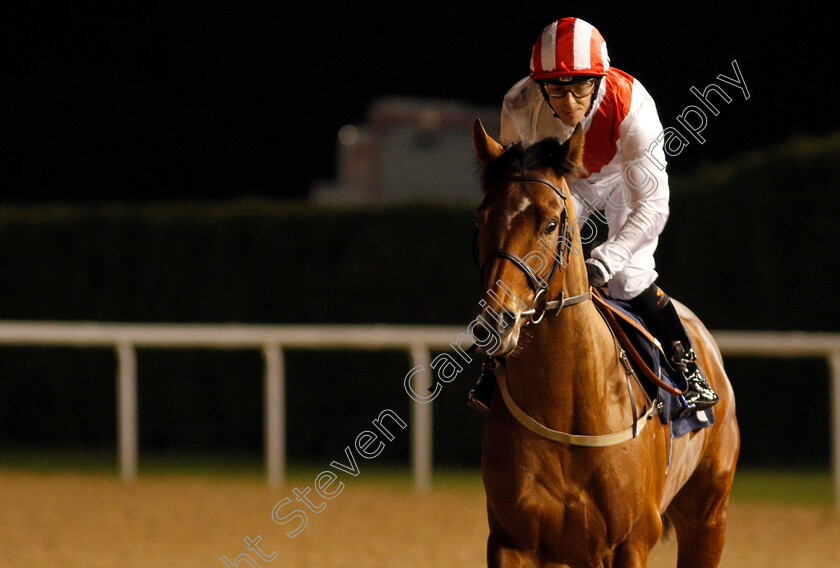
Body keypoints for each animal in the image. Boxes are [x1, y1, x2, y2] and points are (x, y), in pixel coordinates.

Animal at [470, 120, 740, 568]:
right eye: (483, 217)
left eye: (550, 224)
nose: (496, 321)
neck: (568, 410)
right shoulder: (512, 541)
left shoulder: (630, 542)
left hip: (709, 517)